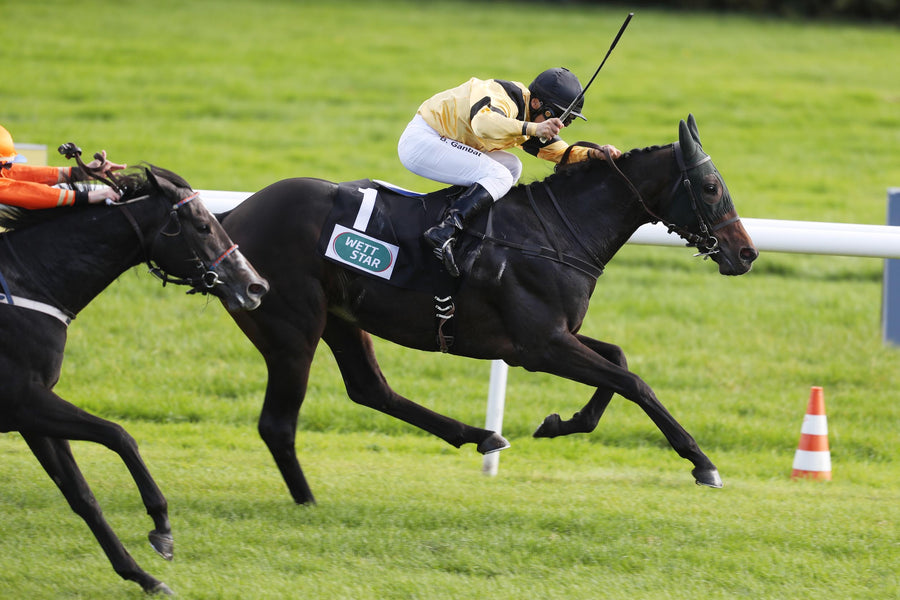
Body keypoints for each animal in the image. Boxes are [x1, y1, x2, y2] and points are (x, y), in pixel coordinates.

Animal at [0, 164, 268, 596]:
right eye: (203, 226)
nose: (255, 285)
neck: (28, 283)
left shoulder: (32, 409)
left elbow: (81, 495)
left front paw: (143, 576)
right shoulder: (23, 399)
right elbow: (120, 435)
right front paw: (162, 526)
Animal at [221, 113, 756, 506]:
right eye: (711, 187)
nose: (747, 253)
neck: (554, 231)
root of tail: (233, 215)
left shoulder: (553, 335)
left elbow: (619, 361)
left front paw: (560, 424)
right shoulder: (541, 346)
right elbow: (633, 382)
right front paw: (703, 463)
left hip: (340, 318)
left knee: (370, 388)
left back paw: (480, 435)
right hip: (293, 327)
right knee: (278, 423)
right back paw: (307, 499)